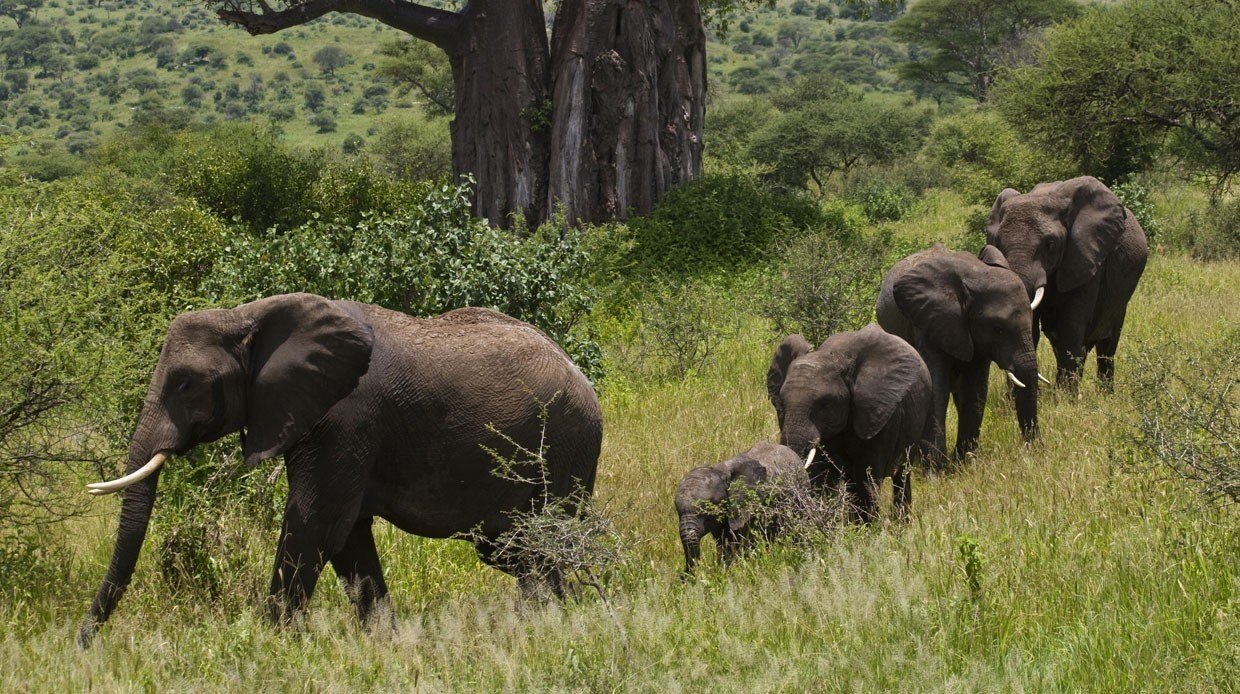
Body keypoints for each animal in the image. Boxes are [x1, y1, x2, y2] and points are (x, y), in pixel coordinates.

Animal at [78, 293, 602, 648]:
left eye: (186, 383)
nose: (82, 647)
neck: (248, 315)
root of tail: (580, 372)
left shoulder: (344, 419)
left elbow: (315, 523)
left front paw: (269, 648)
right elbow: (348, 537)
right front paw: (387, 645)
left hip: (567, 445)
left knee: (539, 541)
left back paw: (549, 624)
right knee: (512, 548)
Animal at [767, 325, 932, 523]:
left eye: (825, 404)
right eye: (781, 404)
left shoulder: (879, 413)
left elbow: (865, 474)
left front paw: (867, 528)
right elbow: (820, 473)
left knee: (901, 475)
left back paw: (900, 522)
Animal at [876, 243, 1042, 462]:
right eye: (998, 329)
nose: (1034, 451)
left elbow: (975, 389)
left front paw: (964, 460)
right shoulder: (928, 322)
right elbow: (936, 387)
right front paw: (937, 467)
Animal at [986, 176, 1148, 390]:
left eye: (1050, 244)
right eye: (998, 242)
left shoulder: (1085, 259)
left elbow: (1069, 330)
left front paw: (1064, 397)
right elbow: (1032, 331)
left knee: (1107, 345)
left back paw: (1104, 393)